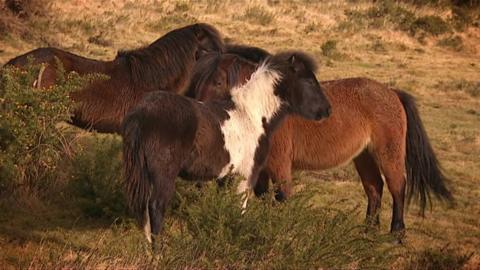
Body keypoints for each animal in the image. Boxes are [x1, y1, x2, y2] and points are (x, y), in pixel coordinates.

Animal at [122, 51, 332, 246]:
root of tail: (142, 112)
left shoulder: (226, 177)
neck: (252, 116)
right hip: (163, 175)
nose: (327, 110)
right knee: (156, 207)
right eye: (310, 82)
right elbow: (241, 208)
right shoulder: (247, 175)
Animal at [189, 48, 452, 238]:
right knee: (374, 188)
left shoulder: (279, 165)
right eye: (195, 79)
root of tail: (392, 92)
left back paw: (396, 233)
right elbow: (261, 196)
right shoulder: (259, 168)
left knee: (397, 186)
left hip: (388, 153)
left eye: (218, 82)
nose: (196, 112)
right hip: (364, 156)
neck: (263, 108)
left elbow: (282, 196)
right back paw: (367, 230)